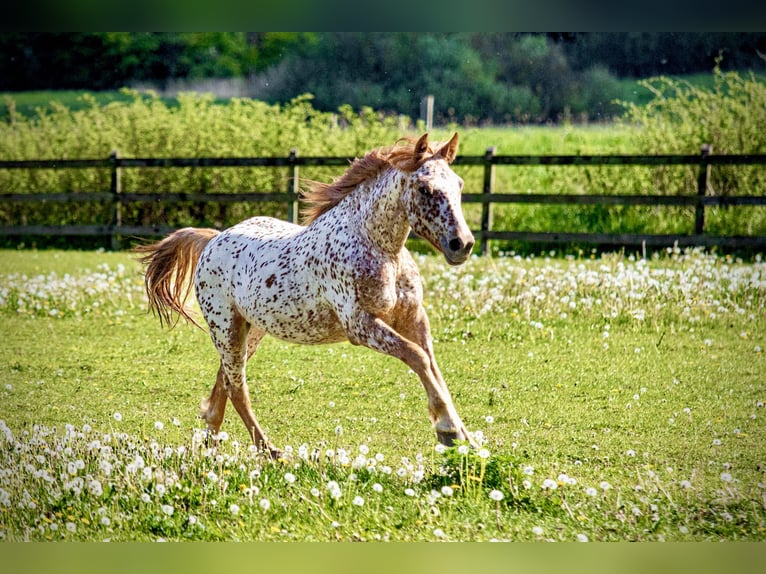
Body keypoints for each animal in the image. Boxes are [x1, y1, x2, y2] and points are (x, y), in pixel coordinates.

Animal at [134, 132, 477, 458]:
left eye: (459, 185)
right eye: (425, 189)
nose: (462, 244)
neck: (378, 248)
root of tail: (213, 239)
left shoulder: (413, 319)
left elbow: (432, 367)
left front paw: (465, 438)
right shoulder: (360, 325)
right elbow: (418, 358)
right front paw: (448, 430)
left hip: (251, 331)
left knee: (225, 381)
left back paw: (211, 445)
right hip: (225, 328)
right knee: (237, 387)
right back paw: (269, 451)